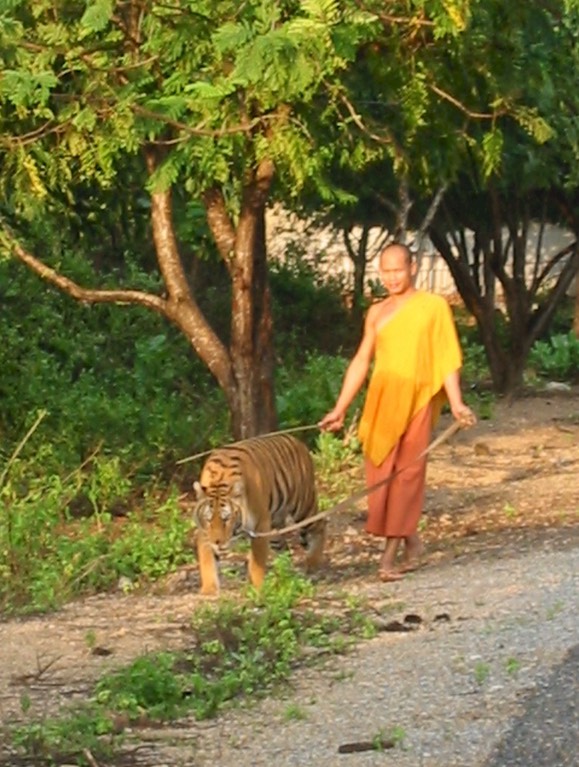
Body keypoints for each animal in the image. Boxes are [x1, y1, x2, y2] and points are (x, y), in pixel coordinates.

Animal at [191, 436, 324, 596]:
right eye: (208, 519)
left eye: (226, 519)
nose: (217, 542)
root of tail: (297, 441)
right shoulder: (204, 531)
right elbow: (207, 559)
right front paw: (209, 589)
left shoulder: (260, 525)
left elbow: (257, 561)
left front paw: (257, 587)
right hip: (274, 529)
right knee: (283, 549)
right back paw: (284, 571)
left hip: (303, 506)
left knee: (320, 523)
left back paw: (313, 562)